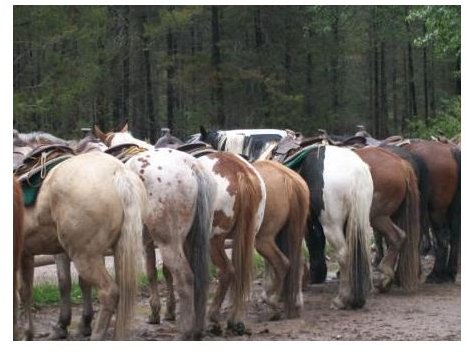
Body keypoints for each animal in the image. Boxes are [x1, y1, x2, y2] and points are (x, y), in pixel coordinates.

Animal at [16, 147, 147, 340]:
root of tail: (119, 172)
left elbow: (23, 291)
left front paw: (27, 333)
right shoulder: (45, 252)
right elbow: (61, 284)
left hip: (84, 255)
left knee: (109, 292)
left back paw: (97, 336)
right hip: (118, 250)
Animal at [95, 124, 218, 340]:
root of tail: (192, 168)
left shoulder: (145, 243)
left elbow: (151, 272)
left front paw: (155, 312)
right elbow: (163, 272)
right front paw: (168, 311)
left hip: (168, 242)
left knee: (185, 278)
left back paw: (185, 331)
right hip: (191, 240)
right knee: (199, 278)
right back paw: (197, 327)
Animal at [251, 159, 310, 320]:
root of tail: (287, 177)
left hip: (263, 239)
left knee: (282, 263)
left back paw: (271, 301)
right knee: (297, 263)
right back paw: (295, 304)